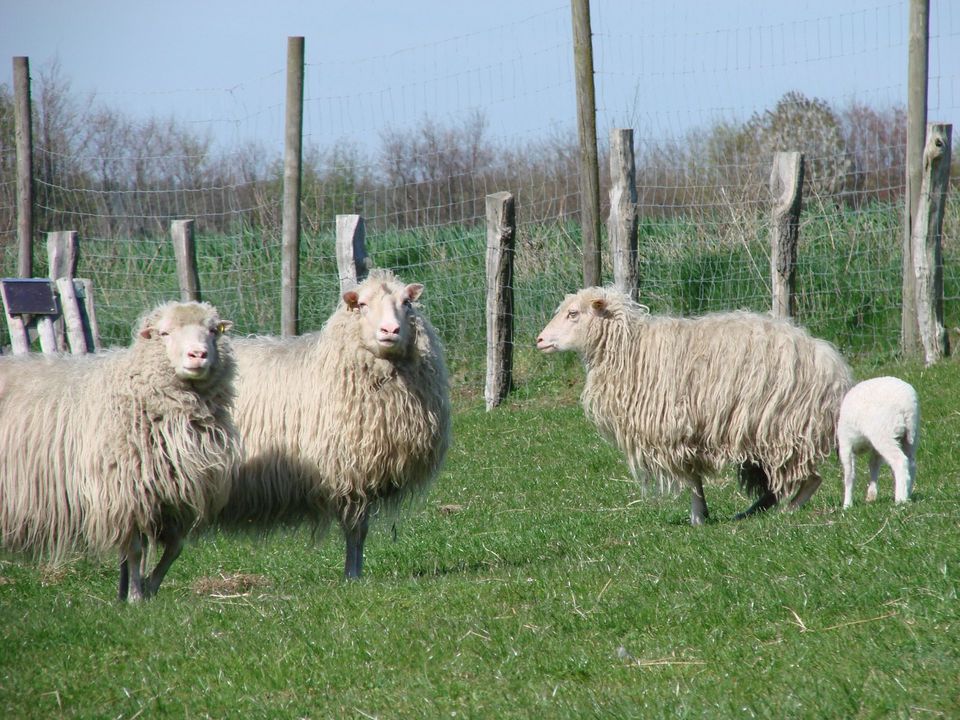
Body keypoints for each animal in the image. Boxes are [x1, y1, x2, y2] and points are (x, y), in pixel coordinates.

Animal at [0, 300, 239, 600]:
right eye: (165, 333)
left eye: (212, 330)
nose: (198, 354)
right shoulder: (123, 493)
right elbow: (135, 551)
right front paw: (135, 597)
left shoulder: (171, 499)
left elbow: (174, 549)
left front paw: (145, 589)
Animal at [221, 270, 454, 580]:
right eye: (362, 304)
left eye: (406, 302)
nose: (390, 330)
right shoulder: (348, 473)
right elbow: (355, 530)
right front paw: (352, 576)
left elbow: (360, 531)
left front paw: (355, 572)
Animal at [536, 284, 852, 524]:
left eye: (573, 314)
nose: (539, 340)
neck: (628, 349)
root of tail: (834, 367)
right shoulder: (690, 432)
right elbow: (695, 477)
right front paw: (701, 514)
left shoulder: (673, 429)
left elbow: (690, 478)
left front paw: (697, 517)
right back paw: (753, 511)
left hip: (784, 426)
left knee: (810, 478)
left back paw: (787, 510)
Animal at [836, 374, 920, 510]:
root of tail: (906, 407)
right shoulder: (874, 447)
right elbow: (873, 464)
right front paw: (871, 494)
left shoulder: (845, 444)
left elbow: (849, 475)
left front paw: (847, 505)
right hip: (912, 436)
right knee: (911, 463)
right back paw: (908, 494)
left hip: (884, 434)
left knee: (900, 461)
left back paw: (900, 499)